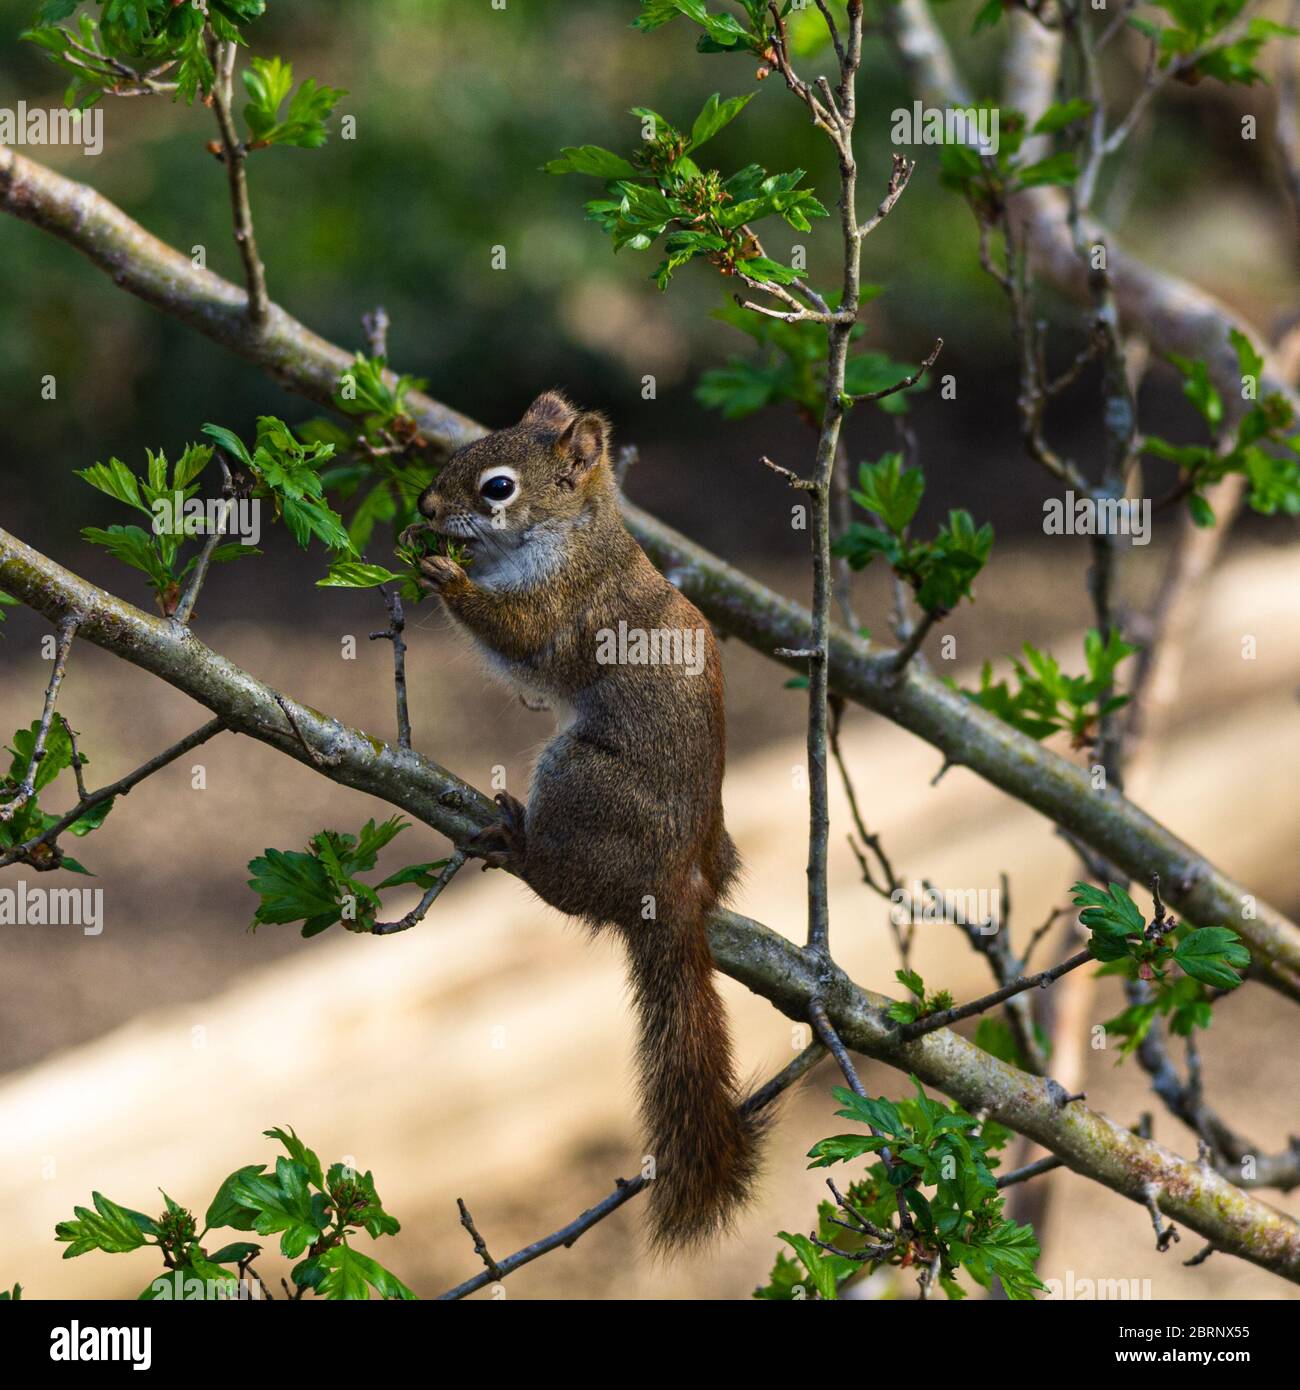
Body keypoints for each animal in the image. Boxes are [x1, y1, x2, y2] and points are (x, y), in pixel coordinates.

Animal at [417, 391, 761, 1251]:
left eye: (498, 488)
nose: (425, 508)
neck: (573, 533)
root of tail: (678, 880)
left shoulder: (566, 604)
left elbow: (517, 636)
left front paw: (446, 577)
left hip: (581, 780)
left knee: (561, 883)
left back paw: (520, 842)